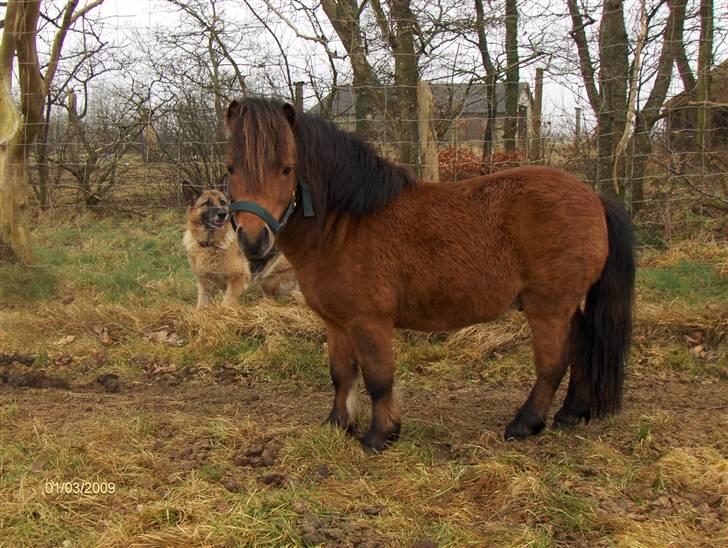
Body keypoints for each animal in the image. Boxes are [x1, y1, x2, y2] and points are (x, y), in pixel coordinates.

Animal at [223, 96, 636, 452]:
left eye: (287, 168)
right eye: (231, 168)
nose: (254, 240)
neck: (345, 224)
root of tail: (594, 197)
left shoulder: (369, 322)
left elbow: (378, 378)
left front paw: (381, 435)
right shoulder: (336, 323)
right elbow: (341, 374)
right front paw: (338, 425)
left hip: (548, 308)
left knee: (553, 363)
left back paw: (526, 423)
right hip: (563, 306)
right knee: (582, 342)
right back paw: (571, 413)